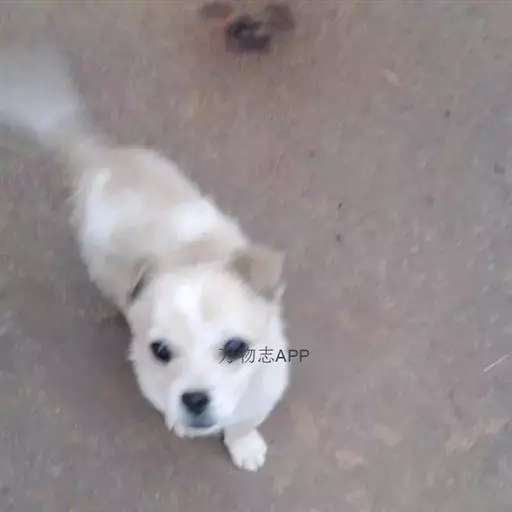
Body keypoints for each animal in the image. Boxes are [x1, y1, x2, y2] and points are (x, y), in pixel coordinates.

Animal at [0, 47, 290, 471]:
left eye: (236, 348)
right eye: (161, 352)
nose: (194, 399)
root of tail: (101, 159)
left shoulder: (266, 386)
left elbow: (243, 422)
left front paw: (245, 445)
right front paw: (188, 425)